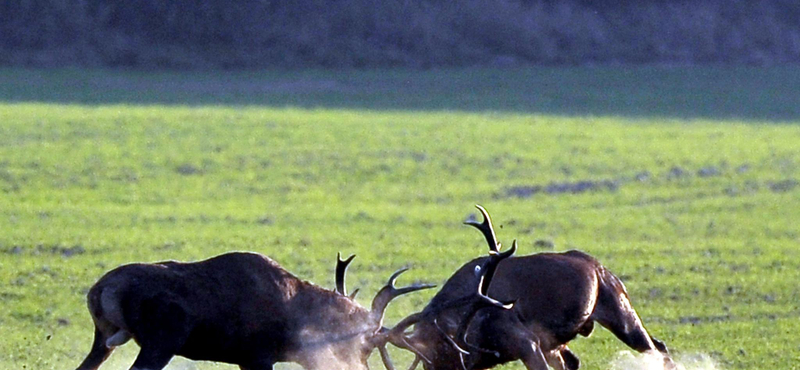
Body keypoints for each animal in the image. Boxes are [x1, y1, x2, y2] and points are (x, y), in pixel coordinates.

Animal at [76, 251, 438, 370]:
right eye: (365, 346)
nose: (358, 366)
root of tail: (100, 290)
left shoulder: (246, 359)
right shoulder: (258, 356)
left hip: (103, 339)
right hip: (160, 341)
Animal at [384, 205, 672, 370]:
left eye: (442, 353)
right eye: (428, 362)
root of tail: (599, 266)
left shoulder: (526, 341)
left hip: (619, 310)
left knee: (657, 347)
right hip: (558, 340)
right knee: (575, 361)